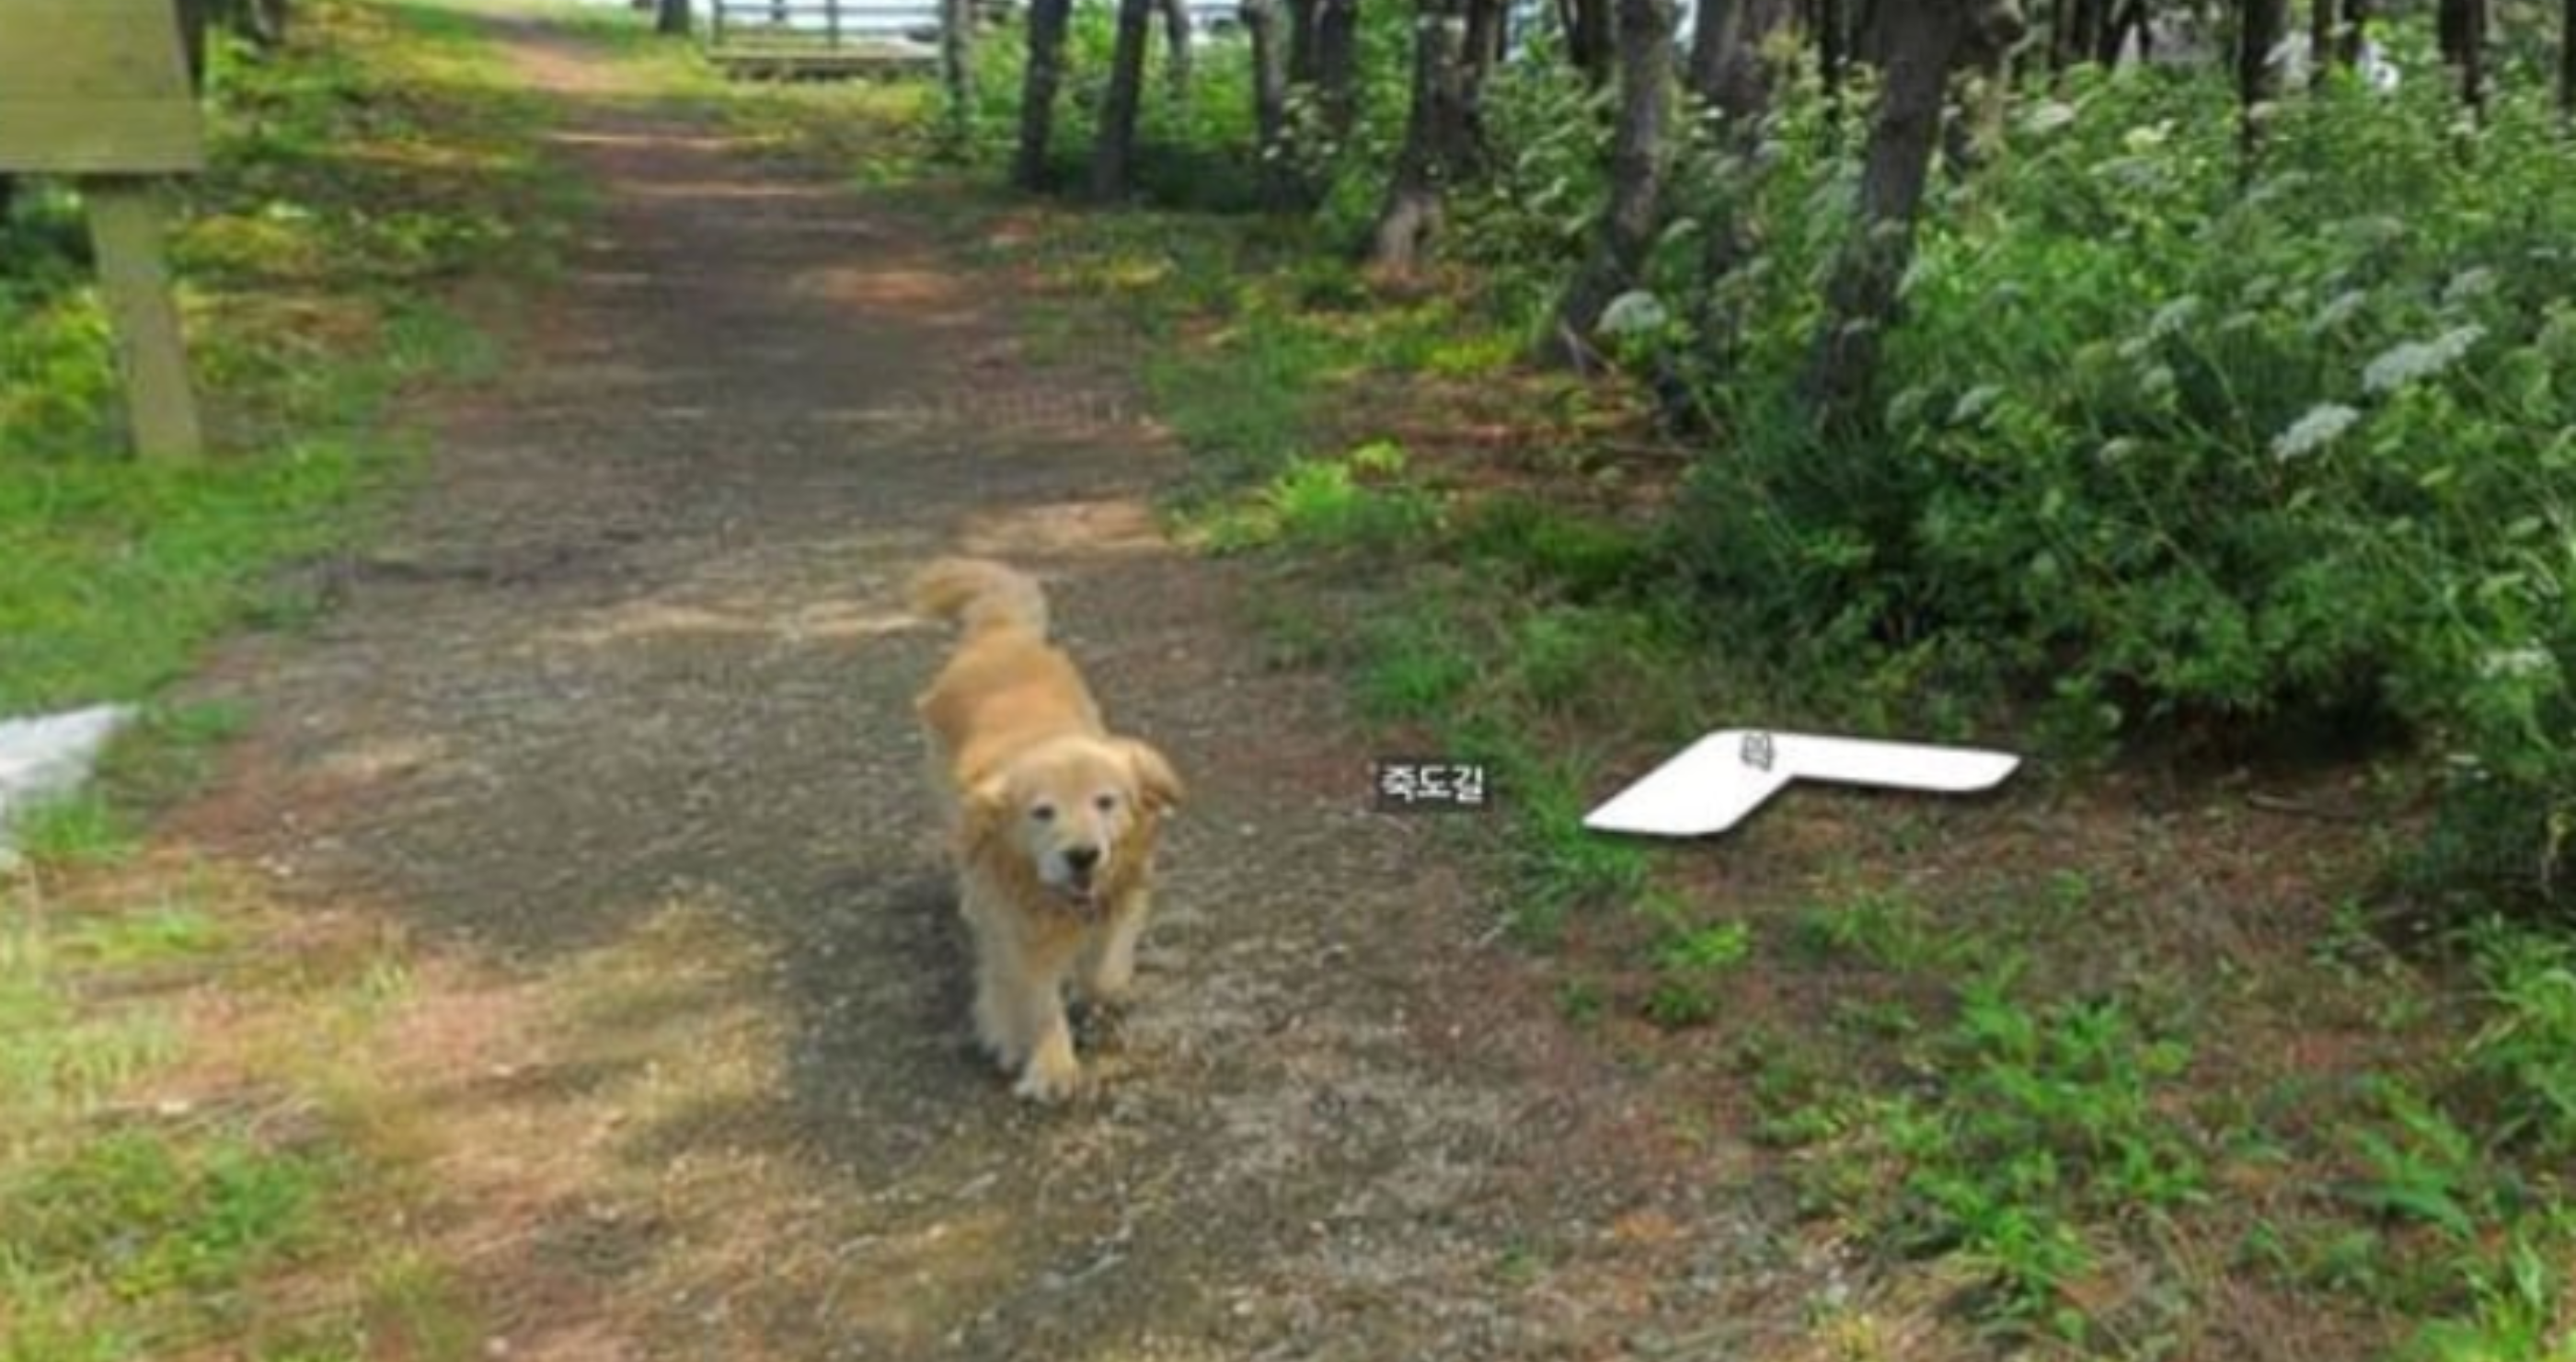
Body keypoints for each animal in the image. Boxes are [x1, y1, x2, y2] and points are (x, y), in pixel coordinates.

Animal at [906, 559, 1185, 1096]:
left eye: (1106, 802)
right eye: (1042, 812)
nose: (1083, 856)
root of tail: (1000, 634)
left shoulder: (1123, 892)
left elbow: (1104, 974)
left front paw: (1095, 990)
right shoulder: (1015, 931)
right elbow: (1035, 998)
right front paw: (1050, 1064)